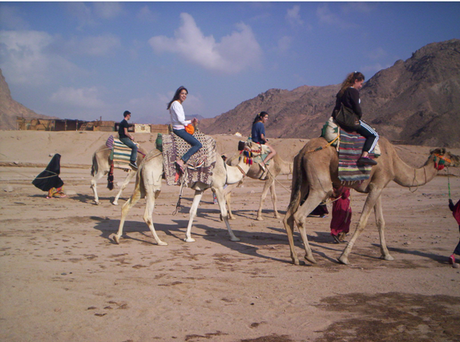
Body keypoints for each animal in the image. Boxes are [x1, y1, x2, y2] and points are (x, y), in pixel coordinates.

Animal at [114, 148, 252, 244]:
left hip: (141, 185)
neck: (227, 170)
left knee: (126, 206)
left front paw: (188, 237)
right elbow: (224, 214)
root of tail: (143, 162)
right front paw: (234, 237)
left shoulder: (200, 189)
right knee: (147, 215)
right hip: (153, 184)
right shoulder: (217, 187)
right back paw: (159, 241)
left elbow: (192, 211)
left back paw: (117, 237)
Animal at [282, 136, 458, 264]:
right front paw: (343, 257)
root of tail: (304, 151)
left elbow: (381, 222)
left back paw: (295, 258)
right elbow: (362, 223)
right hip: (320, 184)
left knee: (288, 216)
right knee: (300, 215)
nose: (458, 158)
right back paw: (309, 256)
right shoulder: (377, 186)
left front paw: (386, 254)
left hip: (300, 179)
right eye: (448, 154)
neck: (394, 163)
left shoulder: (378, 188)